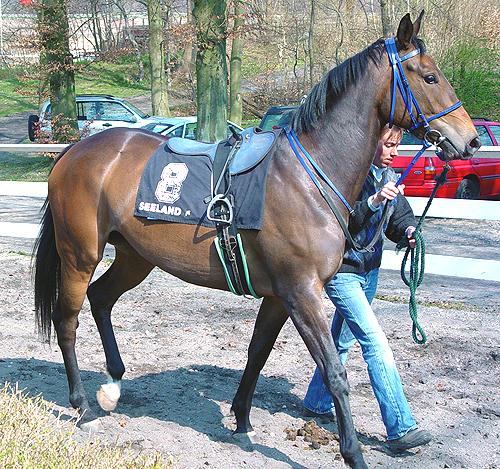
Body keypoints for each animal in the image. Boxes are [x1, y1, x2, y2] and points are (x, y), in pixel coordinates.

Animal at [33, 13, 479, 469]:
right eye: (429, 76)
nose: (470, 140)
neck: (306, 176)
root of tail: (76, 150)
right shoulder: (302, 292)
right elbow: (334, 373)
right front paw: (353, 453)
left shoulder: (280, 296)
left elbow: (257, 354)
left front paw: (242, 422)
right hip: (80, 255)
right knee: (67, 321)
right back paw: (83, 406)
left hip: (135, 257)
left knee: (102, 298)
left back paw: (113, 384)